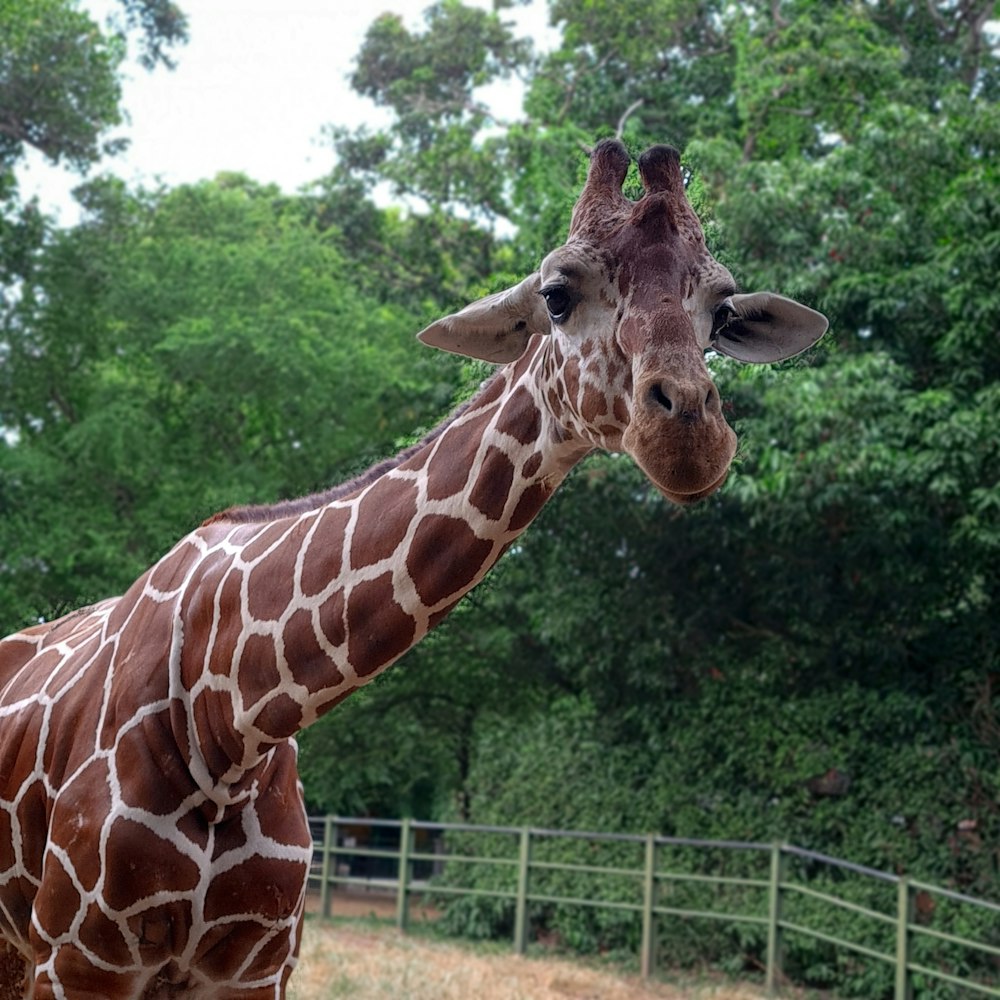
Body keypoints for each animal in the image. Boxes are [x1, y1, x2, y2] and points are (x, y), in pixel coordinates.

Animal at [1, 143, 828, 1000]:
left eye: (722, 313)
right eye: (556, 296)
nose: (690, 437)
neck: (232, 719)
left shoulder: (255, 968)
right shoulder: (79, 961)